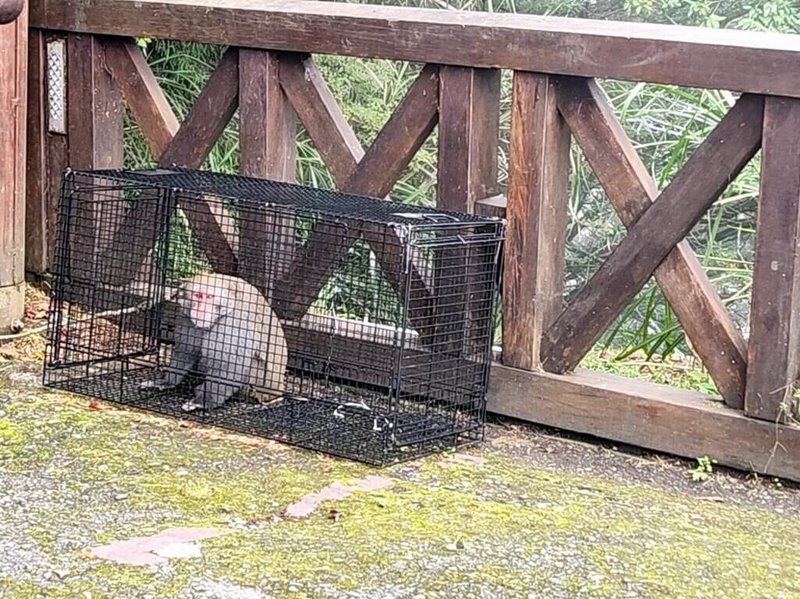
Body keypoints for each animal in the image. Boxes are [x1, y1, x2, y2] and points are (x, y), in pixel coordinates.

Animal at [140, 274, 288, 410]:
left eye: (209, 297)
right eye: (198, 295)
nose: (201, 310)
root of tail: (277, 390)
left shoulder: (233, 322)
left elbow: (228, 365)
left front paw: (203, 401)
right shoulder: (188, 320)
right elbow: (186, 350)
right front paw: (167, 381)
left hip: (258, 384)